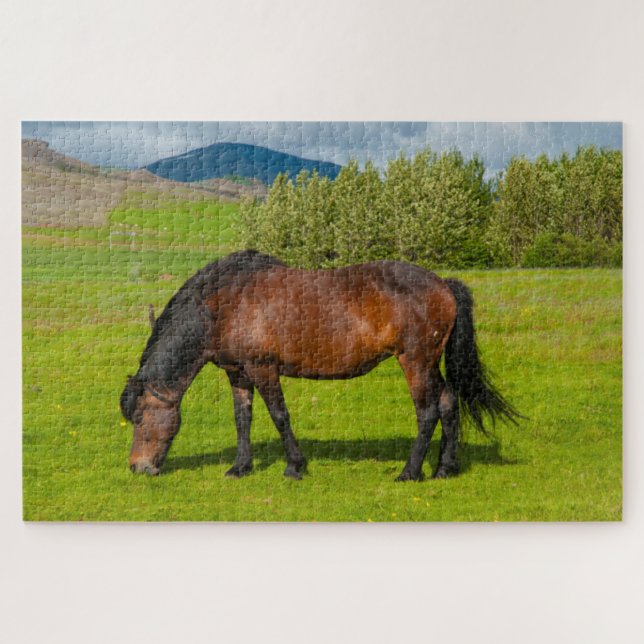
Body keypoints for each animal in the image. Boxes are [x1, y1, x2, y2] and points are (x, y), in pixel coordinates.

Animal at [120, 249, 520, 481]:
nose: (138, 467)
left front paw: (295, 467)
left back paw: (410, 472)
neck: (226, 303)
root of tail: (443, 285)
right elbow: (242, 419)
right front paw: (240, 467)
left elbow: (279, 416)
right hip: (430, 363)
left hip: (416, 362)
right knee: (449, 402)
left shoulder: (263, 369)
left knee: (428, 411)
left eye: (140, 417)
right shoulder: (238, 373)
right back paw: (445, 468)